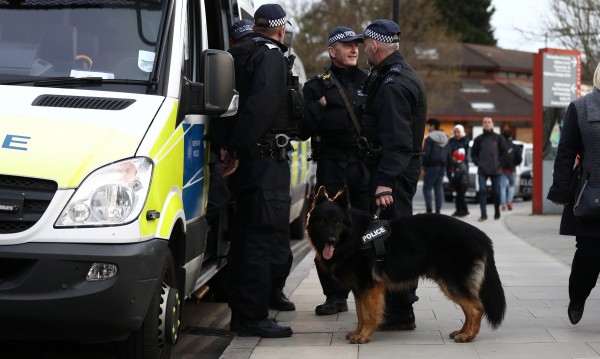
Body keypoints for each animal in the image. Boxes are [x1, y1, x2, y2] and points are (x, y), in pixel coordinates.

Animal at [304, 187, 506, 344]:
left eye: (337, 222)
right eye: (323, 222)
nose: (330, 240)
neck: (355, 235)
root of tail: (481, 236)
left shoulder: (369, 287)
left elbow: (368, 314)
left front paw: (363, 336)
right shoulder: (360, 289)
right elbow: (360, 314)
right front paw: (357, 332)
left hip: (452, 283)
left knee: (476, 308)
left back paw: (468, 336)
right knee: (469, 309)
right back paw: (462, 332)